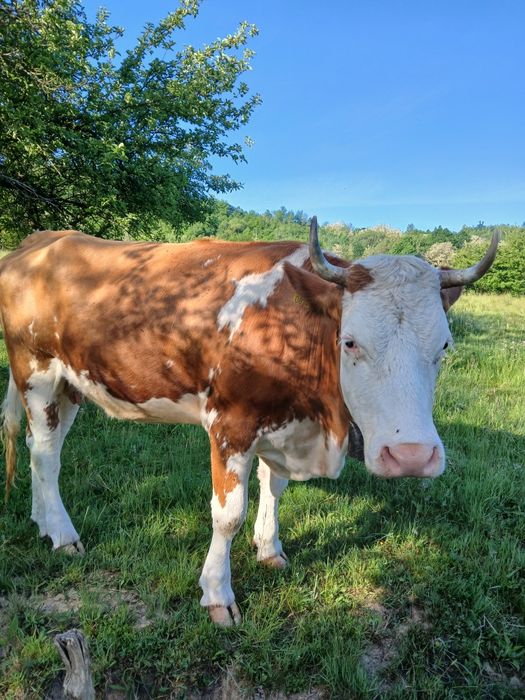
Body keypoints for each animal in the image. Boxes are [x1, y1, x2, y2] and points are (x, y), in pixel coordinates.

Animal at [0, 219, 498, 625]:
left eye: (444, 346)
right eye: (351, 342)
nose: (411, 456)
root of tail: (37, 242)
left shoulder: (284, 424)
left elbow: (274, 488)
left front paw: (270, 549)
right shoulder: (230, 423)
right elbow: (228, 515)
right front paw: (218, 594)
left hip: (71, 384)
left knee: (41, 449)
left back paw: (43, 520)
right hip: (36, 371)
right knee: (45, 455)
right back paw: (63, 535)